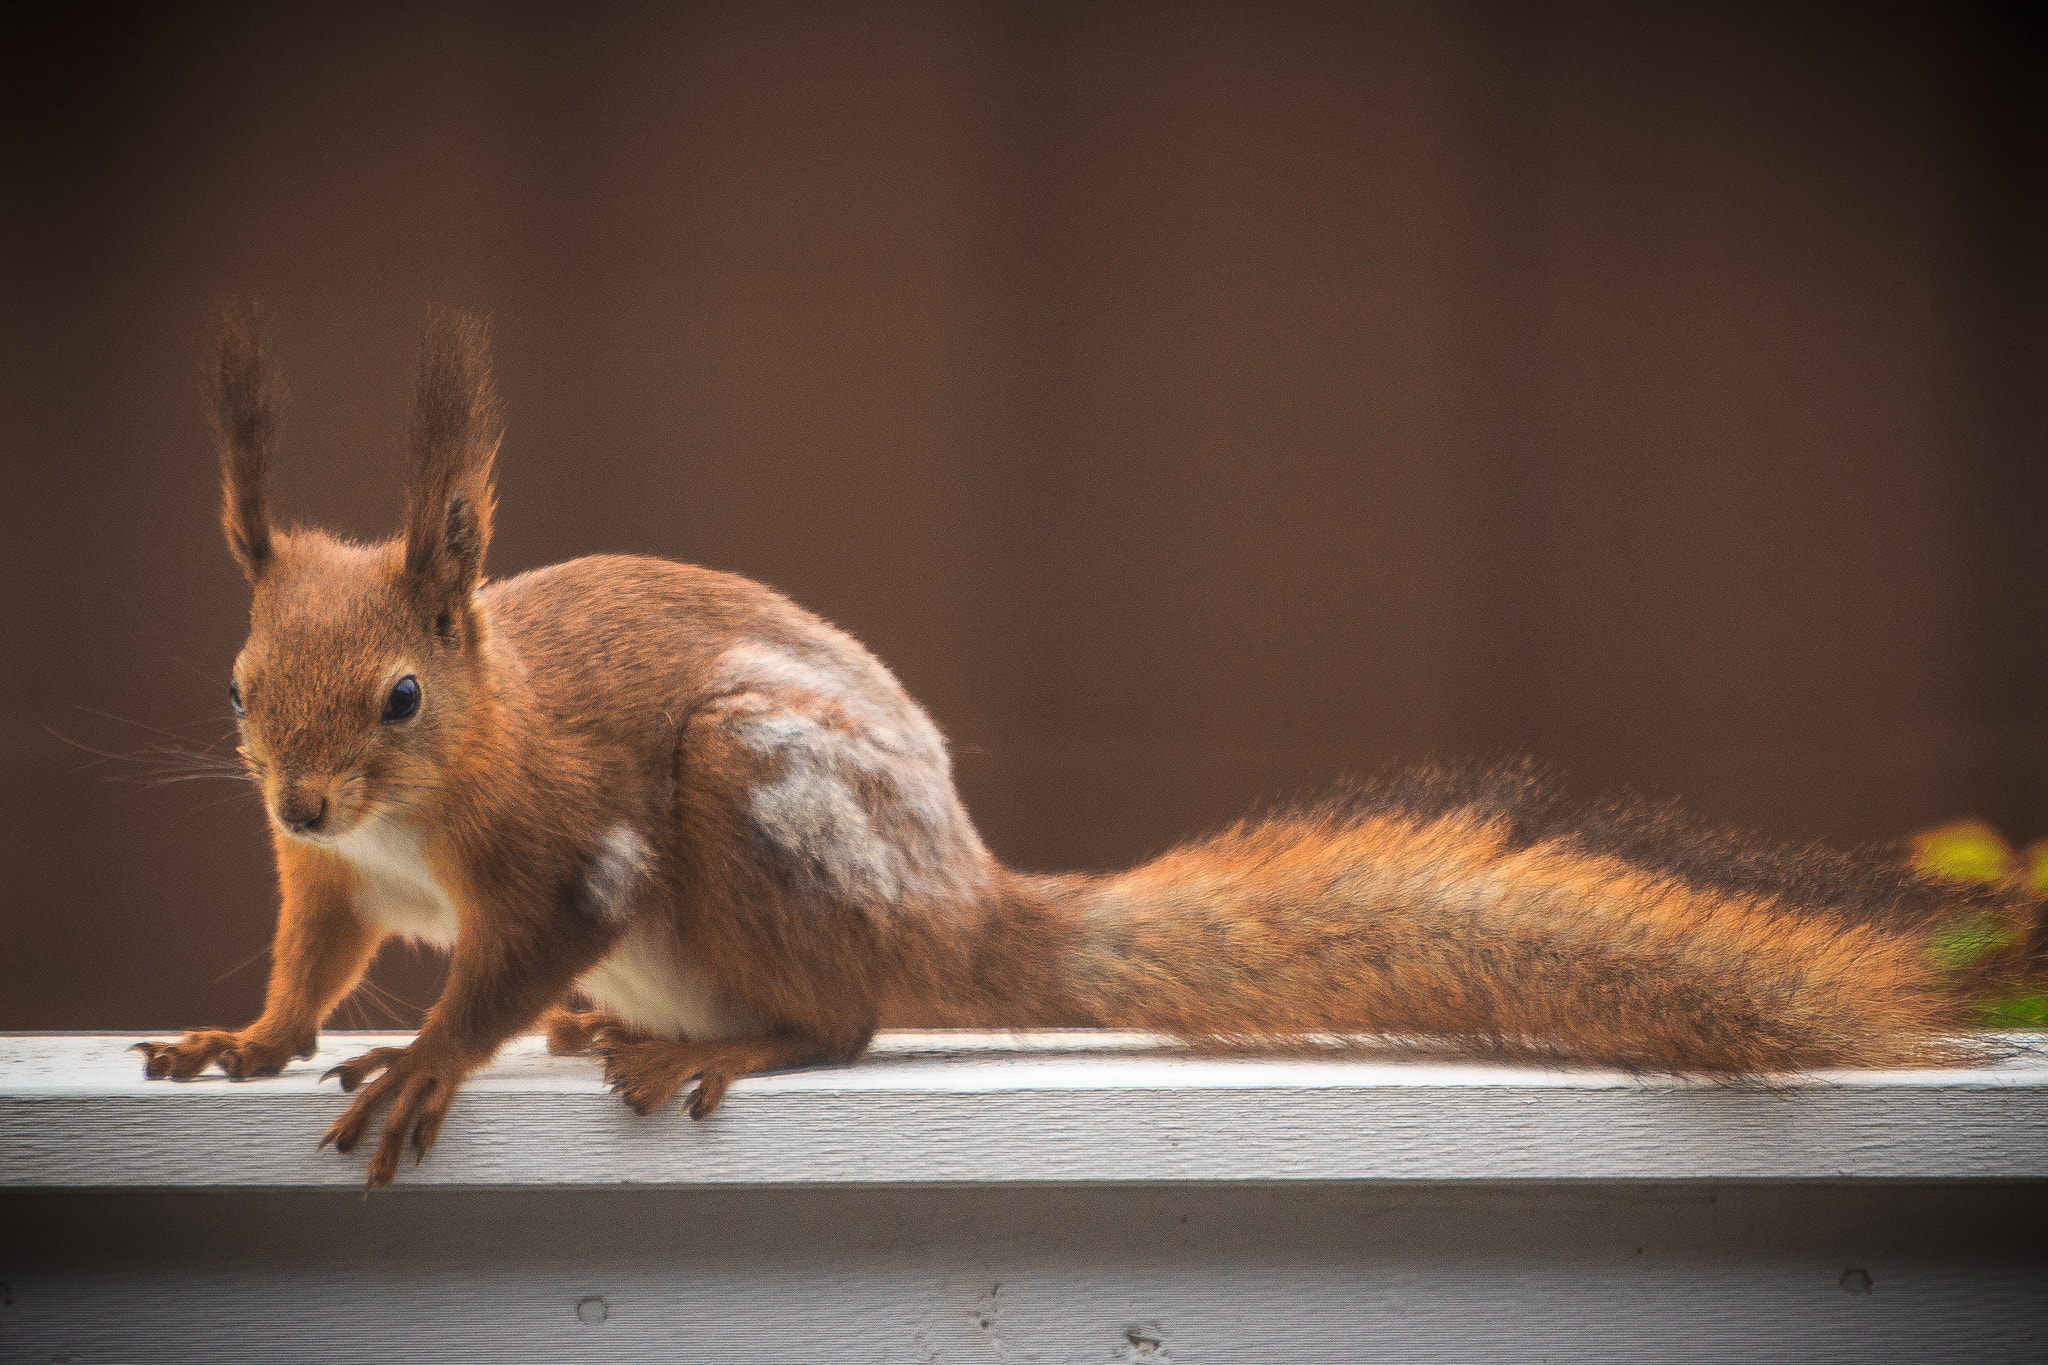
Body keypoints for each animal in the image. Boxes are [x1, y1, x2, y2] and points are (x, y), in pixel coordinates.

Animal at [136, 306, 2045, 1187]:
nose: (299, 788)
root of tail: (960, 902)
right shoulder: (328, 877)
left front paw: (428, 1059)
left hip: (758, 791)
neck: (419, 798)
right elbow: (312, 958)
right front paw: (247, 1040)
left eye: (401, 695)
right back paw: (621, 1025)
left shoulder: (562, 848)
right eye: (236, 684)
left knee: (850, 1019)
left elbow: (509, 956)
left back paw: (731, 1043)